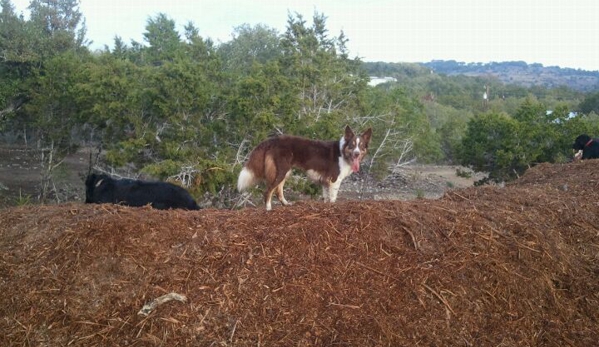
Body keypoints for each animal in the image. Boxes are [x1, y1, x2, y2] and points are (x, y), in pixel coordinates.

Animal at [238, 126, 370, 211]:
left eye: (361, 146)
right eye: (352, 145)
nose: (357, 154)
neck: (342, 152)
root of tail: (273, 139)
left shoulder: (325, 181)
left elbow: (326, 198)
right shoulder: (334, 180)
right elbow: (333, 198)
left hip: (285, 172)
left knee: (278, 190)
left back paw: (286, 204)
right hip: (281, 171)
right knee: (268, 191)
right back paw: (268, 208)